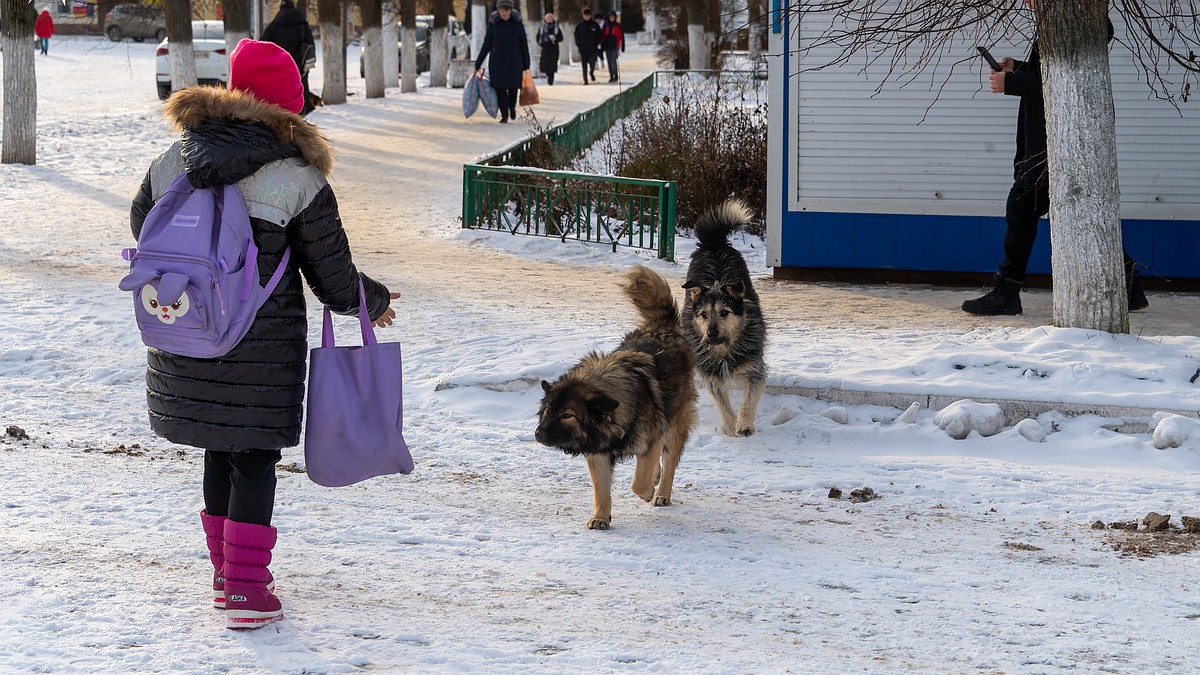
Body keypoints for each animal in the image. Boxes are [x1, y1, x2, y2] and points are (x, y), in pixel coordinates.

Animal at [537, 265, 700, 528]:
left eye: (568, 415)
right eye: (548, 411)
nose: (538, 434)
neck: (613, 418)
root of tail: (663, 327)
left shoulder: (651, 440)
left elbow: (639, 483)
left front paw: (648, 492)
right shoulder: (598, 454)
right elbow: (601, 491)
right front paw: (600, 518)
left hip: (675, 424)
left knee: (669, 462)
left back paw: (661, 493)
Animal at [681, 196, 763, 432]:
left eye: (724, 312)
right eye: (703, 314)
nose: (710, 334)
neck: (725, 348)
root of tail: (714, 244)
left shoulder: (754, 367)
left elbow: (750, 397)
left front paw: (744, 424)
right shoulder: (709, 372)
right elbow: (721, 401)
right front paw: (729, 426)